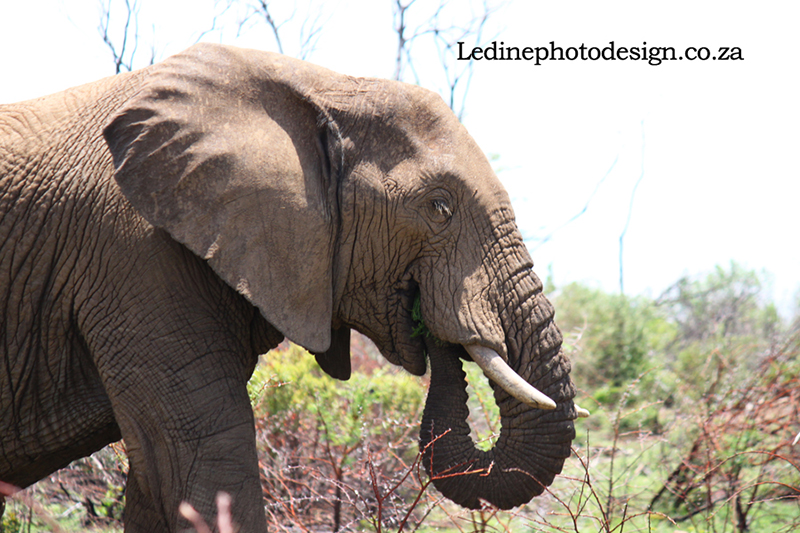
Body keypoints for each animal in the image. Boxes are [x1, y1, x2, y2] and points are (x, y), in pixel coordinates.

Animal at [0, 43, 585, 531]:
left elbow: (159, 484)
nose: (434, 324)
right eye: (439, 206)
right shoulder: (135, 255)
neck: (323, 86)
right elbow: (203, 456)